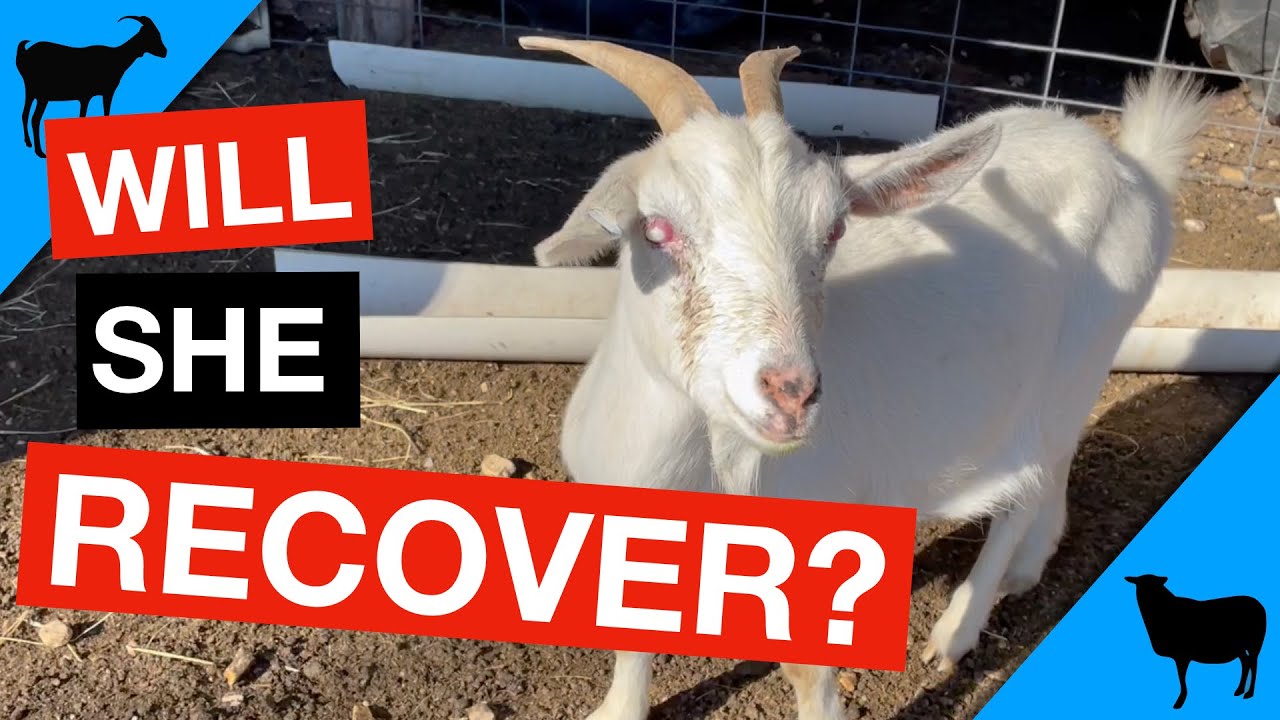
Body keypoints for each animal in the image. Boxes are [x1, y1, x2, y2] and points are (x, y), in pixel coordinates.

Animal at [16, 15, 167, 159]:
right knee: (35, 119)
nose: (165, 52)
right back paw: (40, 152)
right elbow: (97, 115)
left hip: (30, 92)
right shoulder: (101, 94)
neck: (116, 58)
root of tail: (25, 55)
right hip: (42, 96)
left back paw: (28, 143)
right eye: (153, 35)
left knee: (24, 113)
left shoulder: (90, 97)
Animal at [516, 35, 1211, 720]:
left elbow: (807, 670)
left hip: (1078, 359)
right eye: (657, 229)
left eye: (834, 229)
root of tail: (1127, 164)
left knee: (1027, 482)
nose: (792, 392)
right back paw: (1029, 564)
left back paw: (957, 629)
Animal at [1126, 574, 1266, 710]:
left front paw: (1180, 701)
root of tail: (1259, 605)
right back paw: (1239, 690)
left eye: (1155, 585)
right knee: (1245, 663)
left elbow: (1181, 679)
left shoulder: (1182, 655)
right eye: (1139, 585)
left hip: (1255, 643)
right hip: (1240, 647)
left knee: (1253, 664)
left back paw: (1249, 693)